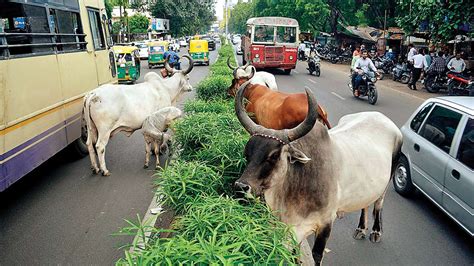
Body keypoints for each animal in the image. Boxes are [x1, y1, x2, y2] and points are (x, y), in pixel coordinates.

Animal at [235, 80, 402, 264]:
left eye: (274, 155)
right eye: (247, 153)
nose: (241, 186)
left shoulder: (325, 224)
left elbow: (316, 256)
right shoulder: (290, 229)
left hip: (387, 180)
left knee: (378, 203)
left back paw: (375, 231)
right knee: (366, 204)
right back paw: (361, 229)